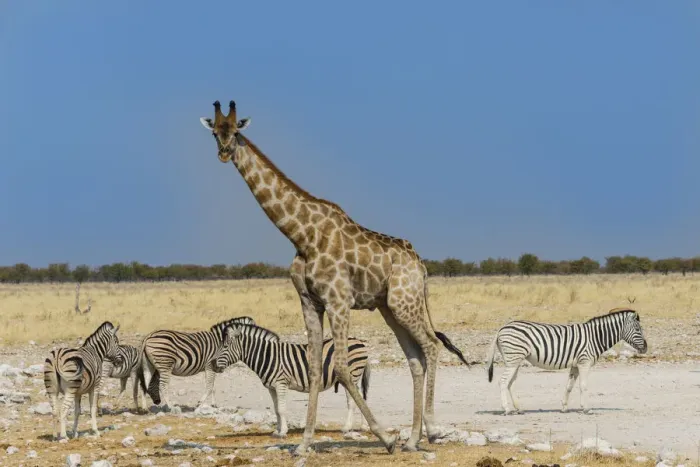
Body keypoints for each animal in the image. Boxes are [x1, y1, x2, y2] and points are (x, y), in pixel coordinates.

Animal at [212, 323, 372, 438]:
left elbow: (282, 409)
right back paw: (364, 426)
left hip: (352, 375)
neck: (268, 356)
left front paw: (283, 432)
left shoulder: (281, 383)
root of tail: (360, 341)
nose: (213, 364)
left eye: (224, 346)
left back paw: (346, 427)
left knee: (353, 401)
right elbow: (276, 409)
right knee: (361, 398)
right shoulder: (271, 387)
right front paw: (277, 431)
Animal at [485, 308, 647, 415]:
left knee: (510, 383)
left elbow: (569, 386)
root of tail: (501, 328)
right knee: (503, 382)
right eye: (638, 329)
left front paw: (564, 407)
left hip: (514, 360)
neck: (595, 337)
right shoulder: (584, 362)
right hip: (513, 358)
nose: (646, 348)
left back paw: (519, 409)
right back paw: (506, 409)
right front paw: (586, 408)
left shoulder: (575, 364)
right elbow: (583, 386)